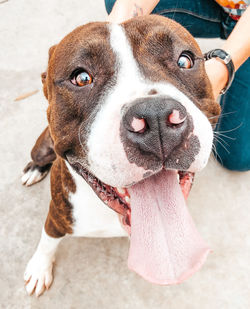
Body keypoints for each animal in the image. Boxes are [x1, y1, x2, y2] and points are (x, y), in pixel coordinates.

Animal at [22, 15, 221, 296]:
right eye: (81, 78)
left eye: (185, 61)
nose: (156, 117)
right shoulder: (57, 216)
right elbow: (47, 240)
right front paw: (39, 268)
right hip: (40, 148)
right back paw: (34, 169)